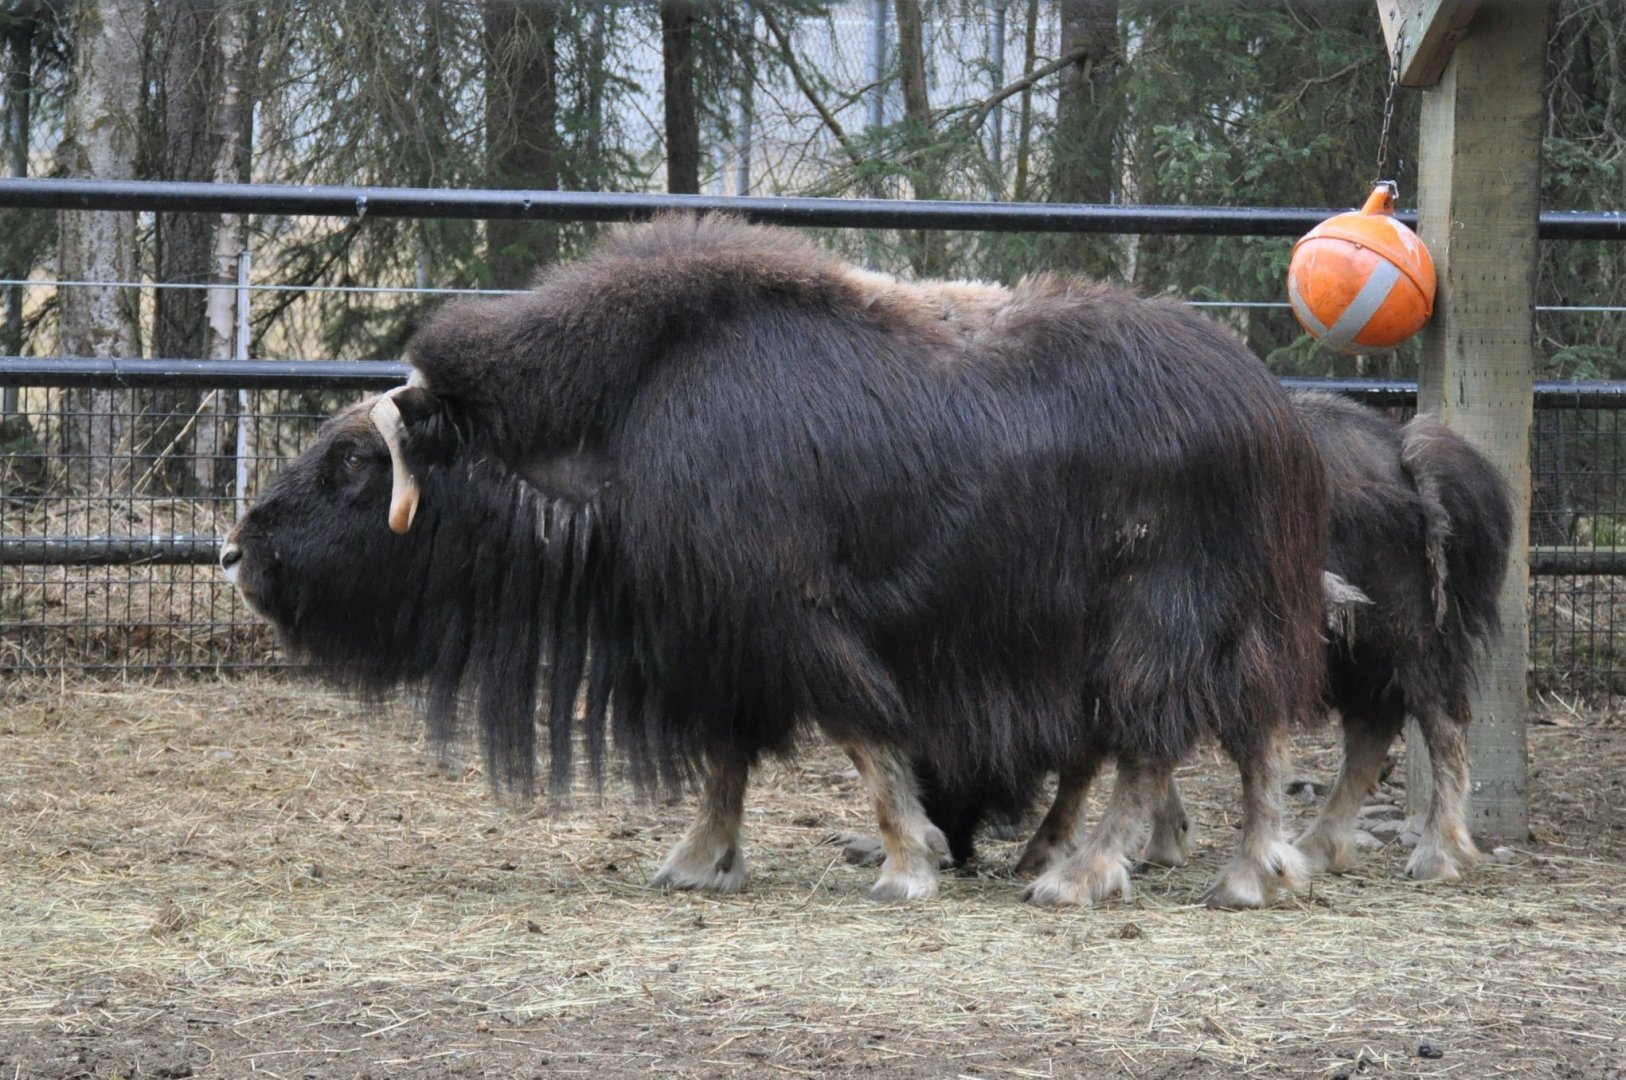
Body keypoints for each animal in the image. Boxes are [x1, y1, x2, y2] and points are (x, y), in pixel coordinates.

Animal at [221, 214, 1329, 908]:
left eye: (353, 463)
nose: (235, 550)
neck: (618, 431)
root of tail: (1267, 404)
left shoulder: (786, 622)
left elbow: (863, 737)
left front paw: (907, 865)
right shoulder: (713, 644)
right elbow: (726, 761)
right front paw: (694, 862)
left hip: (1160, 625)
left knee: (1154, 741)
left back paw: (1079, 877)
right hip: (1239, 623)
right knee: (1251, 738)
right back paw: (1251, 874)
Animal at [861, 390, 1512, 890]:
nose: (951, 845)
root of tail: (1403, 451)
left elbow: (1093, 760)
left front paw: (1050, 851)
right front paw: (1162, 841)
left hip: (1405, 642)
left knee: (1442, 726)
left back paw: (1435, 856)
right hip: (1357, 660)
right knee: (1370, 736)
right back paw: (1316, 847)